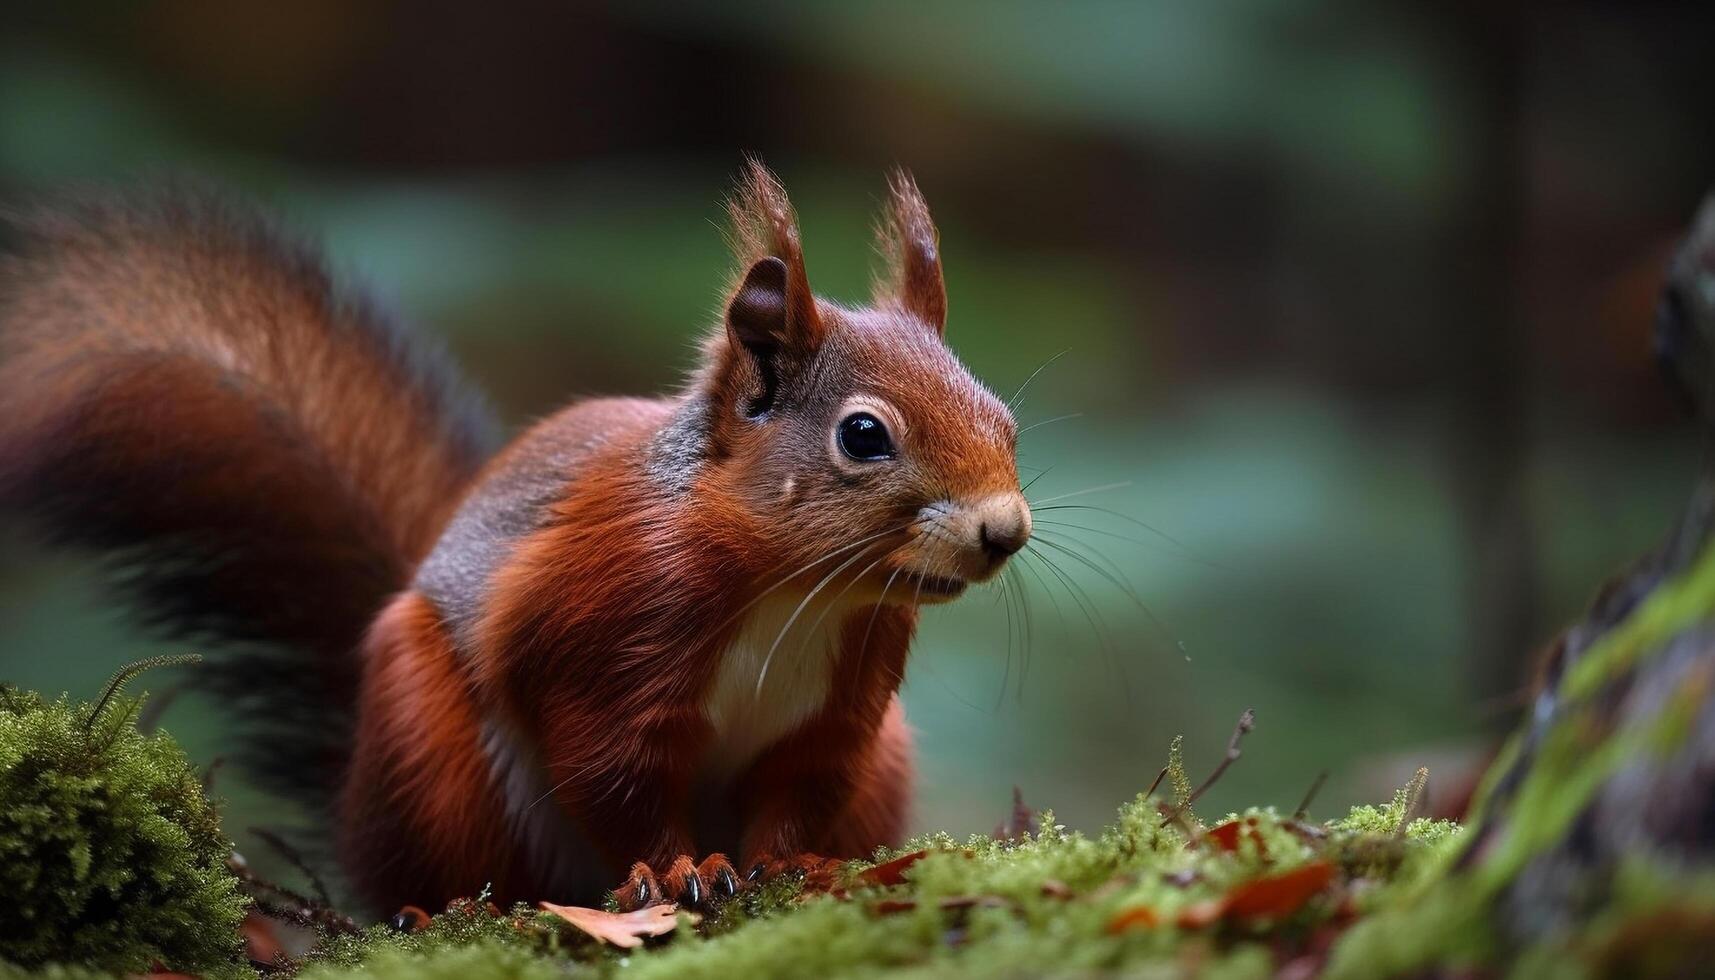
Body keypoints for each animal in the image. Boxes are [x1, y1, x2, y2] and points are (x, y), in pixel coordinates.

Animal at [0, 161, 1029, 913]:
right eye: (863, 435)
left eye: (1006, 422)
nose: (1005, 530)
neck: (789, 593)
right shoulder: (608, 620)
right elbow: (611, 770)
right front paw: (674, 872)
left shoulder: (845, 700)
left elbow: (801, 785)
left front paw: (793, 864)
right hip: (426, 741)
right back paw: (444, 911)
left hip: (890, 753)